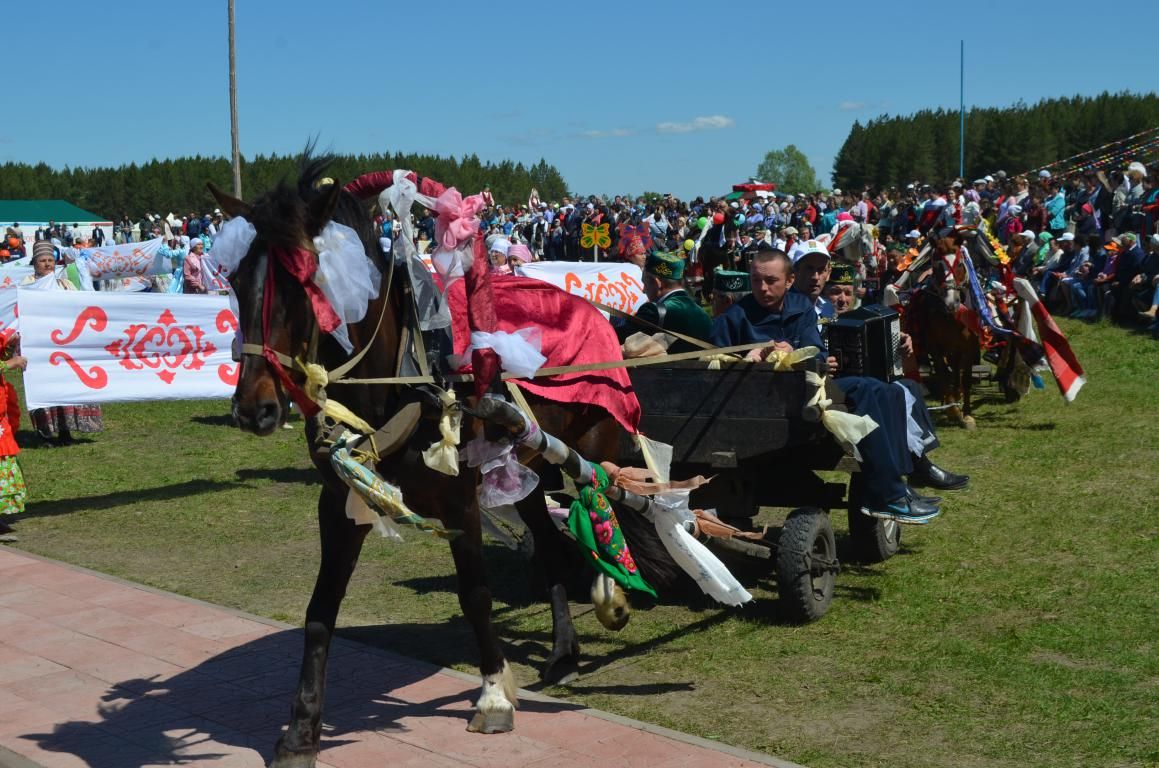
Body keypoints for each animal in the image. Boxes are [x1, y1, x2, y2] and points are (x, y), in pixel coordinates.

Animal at [207, 157, 662, 768]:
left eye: (305, 284)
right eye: (235, 282)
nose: (253, 409)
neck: (403, 373)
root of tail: (588, 307)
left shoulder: (459, 500)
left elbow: (475, 594)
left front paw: (493, 694)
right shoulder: (342, 501)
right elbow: (320, 611)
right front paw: (301, 731)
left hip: (594, 445)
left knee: (606, 500)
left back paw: (611, 594)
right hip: (526, 468)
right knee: (547, 545)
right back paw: (565, 649)